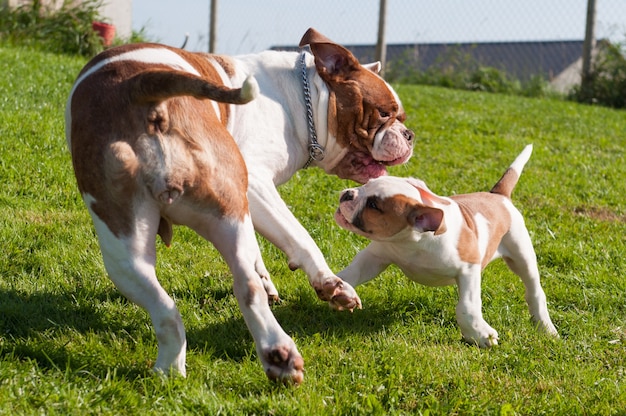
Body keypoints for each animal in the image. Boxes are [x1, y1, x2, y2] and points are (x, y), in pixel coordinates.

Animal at [66, 27, 412, 382]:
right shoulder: (257, 184)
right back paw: (278, 353)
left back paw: (182, 366)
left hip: (129, 248)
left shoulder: (247, 200)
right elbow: (301, 238)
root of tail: (141, 89)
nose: (408, 134)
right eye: (384, 113)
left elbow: (261, 250)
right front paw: (330, 283)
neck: (303, 101)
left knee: (175, 306)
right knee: (241, 285)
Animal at [334, 145, 560, 346]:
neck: (411, 243)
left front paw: (480, 335)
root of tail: (498, 196)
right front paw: (338, 288)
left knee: (535, 291)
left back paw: (545, 327)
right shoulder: (375, 257)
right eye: (365, 184)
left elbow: (467, 306)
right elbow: (353, 272)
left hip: (521, 255)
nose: (347, 194)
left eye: (373, 205)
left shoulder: (469, 269)